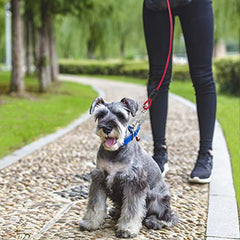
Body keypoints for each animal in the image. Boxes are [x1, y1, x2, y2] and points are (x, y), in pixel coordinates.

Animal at [79, 96, 178, 237]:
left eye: (120, 115)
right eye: (100, 115)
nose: (106, 128)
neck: (115, 152)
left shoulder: (134, 182)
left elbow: (132, 209)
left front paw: (127, 229)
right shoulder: (99, 178)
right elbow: (95, 204)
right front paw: (90, 223)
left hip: (156, 199)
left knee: (169, 216)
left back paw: (155, 221)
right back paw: (116, 211)